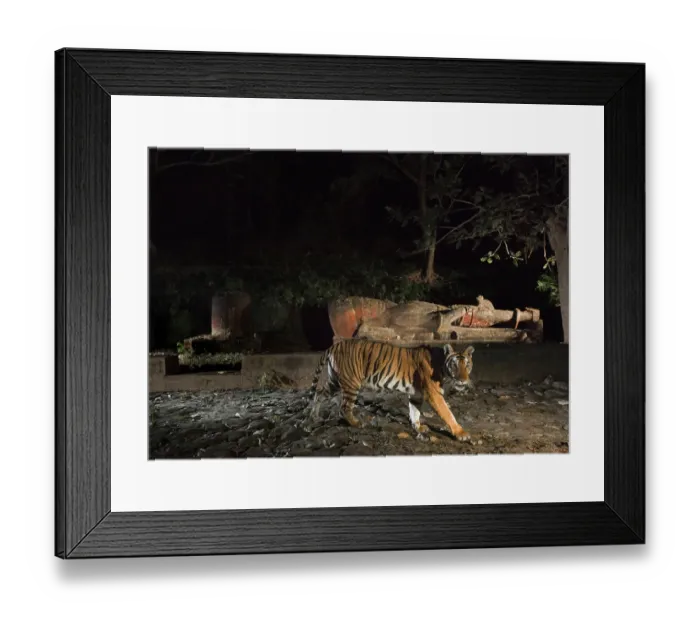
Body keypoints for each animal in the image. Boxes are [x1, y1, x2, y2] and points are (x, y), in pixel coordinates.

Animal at [305, 339, 475, 442]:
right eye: (454, 365)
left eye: (467, 365)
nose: (463, 380)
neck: (440, 364)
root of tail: (334, 345)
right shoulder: (433, 394)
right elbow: (448, 413)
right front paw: (461, 433)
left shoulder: (416, 394)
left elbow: (415, 412)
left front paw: (418, 427)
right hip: (351, 383)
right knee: (344, 407)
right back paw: (357, 423)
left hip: (335, 381)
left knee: (319, 393)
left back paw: (314, 417)